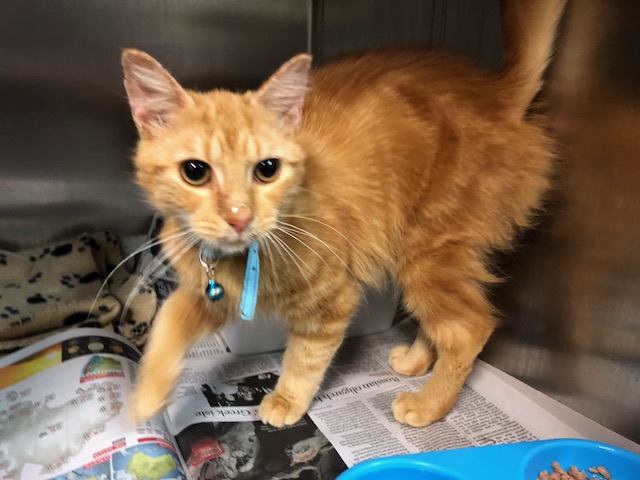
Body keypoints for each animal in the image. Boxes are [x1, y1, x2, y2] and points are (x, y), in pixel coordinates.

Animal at [121, 0, 566, 428]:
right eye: (195, 172)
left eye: (267, 169)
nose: (239, 217)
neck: (236, 263)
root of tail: (495, 91)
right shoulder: (207, 296)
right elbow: (167, 325)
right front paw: (146, 396)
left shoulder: (333, 300)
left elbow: (305, 359)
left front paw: (286, 400)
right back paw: (416, 361)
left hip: (431, 252)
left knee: (467, 330)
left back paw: (428, 405)